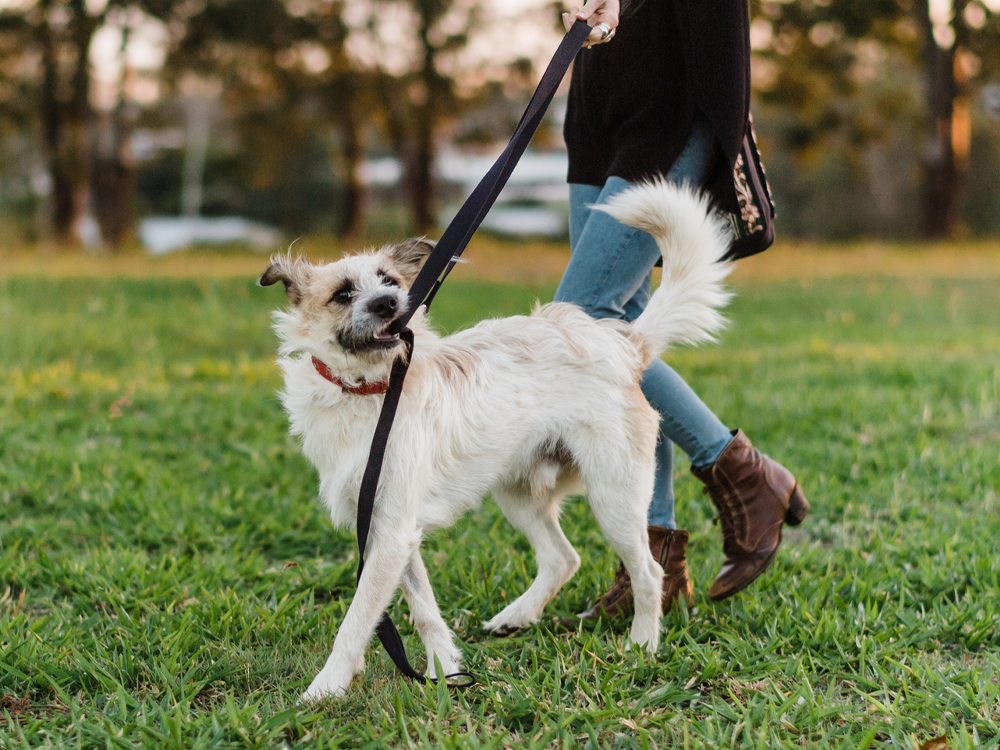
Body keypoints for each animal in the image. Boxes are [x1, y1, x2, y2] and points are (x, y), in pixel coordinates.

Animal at [262, 179, 732, 704]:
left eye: (390, 281)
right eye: (343, 293)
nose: (388, 304)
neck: (370, 390)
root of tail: (622, 343)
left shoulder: (391, 530)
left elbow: (358, 618)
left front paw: (325, 688)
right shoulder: (389, 528)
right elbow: (423, 609)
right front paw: (444, 669)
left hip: (614, 496)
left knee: (648, 572)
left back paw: (642, 645)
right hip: (519, 494)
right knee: (563, 558)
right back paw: (518, 617)